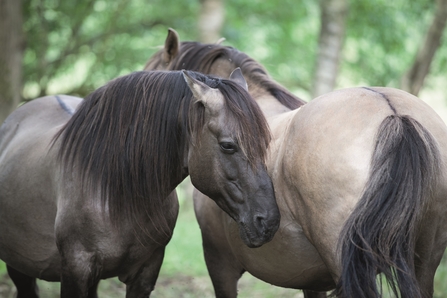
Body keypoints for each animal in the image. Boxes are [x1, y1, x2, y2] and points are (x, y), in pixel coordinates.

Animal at [0, 70, 280, 298]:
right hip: (20, 267)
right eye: (228, 145)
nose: (268, 222)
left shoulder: (145, 273)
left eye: (266, 143)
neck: (114, 191)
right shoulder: (75, 271)